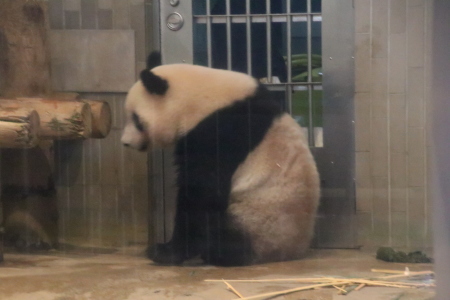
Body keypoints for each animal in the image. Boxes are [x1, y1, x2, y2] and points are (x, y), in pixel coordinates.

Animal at [120, 52, 320, 268]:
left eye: (136, 119)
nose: (125, 142)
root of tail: (292, 251)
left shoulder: (219, 132)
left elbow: (202, 193)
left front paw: (165, 252)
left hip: (256, 220)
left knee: (223, 233)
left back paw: (217, 253)